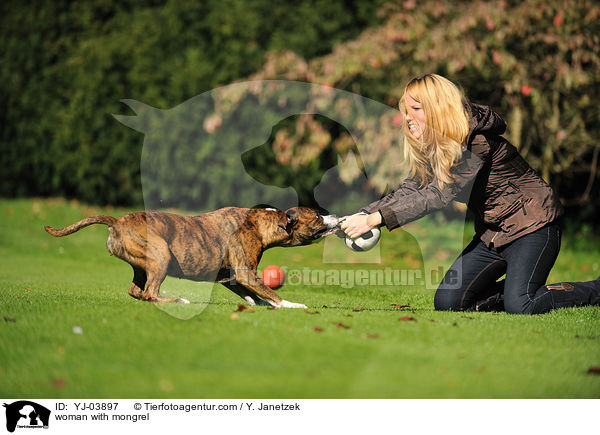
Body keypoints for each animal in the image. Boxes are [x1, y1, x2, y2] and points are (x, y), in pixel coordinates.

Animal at [44, 209, 340, 308]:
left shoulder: (231, 277)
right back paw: (178, 300)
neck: (261, 223)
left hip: (142, 263)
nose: (335, 216)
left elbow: (254, 295)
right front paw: (291, 305)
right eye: (316, 216)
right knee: (150, 292)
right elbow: (271, 292)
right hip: (161, 255)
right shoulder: (246, 272)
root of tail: (117, 221)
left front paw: (263, 305)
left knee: (137, 290)